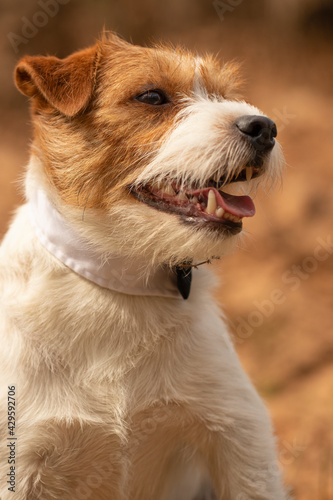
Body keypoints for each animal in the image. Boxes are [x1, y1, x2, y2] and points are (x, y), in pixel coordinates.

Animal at [0, 33, 286, 498]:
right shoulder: (21, 460)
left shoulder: (240, 438)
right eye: (152, 96)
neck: (122, 282)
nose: (265, 127)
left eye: (223, 94)